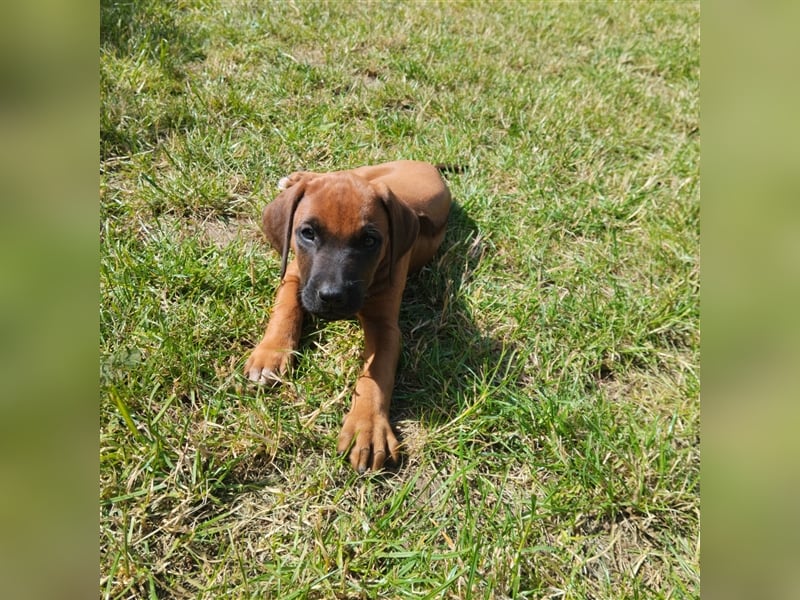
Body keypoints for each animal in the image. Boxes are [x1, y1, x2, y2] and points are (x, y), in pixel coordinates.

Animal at [244, 159, 450, 474]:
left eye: (369, 241)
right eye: (308, 233)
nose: (332, 296)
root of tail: (425, 163)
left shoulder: (385, 327)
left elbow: (375, 375)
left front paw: (368, 428)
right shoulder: (295, 274)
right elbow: (285, 310)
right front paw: (272, 354)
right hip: (367, 171)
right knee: (329, 174)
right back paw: (297, 178)